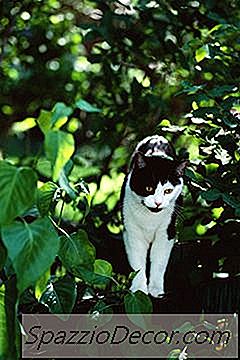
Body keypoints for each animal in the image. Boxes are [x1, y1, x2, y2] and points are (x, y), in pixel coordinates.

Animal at [122, 135, 188, 298]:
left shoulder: (167, 233)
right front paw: (139, 289)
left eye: (168, 191)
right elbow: (138, 263)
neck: (150, 219)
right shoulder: (131, 233)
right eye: (148, 188)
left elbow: (158, 262)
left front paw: (156, 290)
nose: (158, 203)